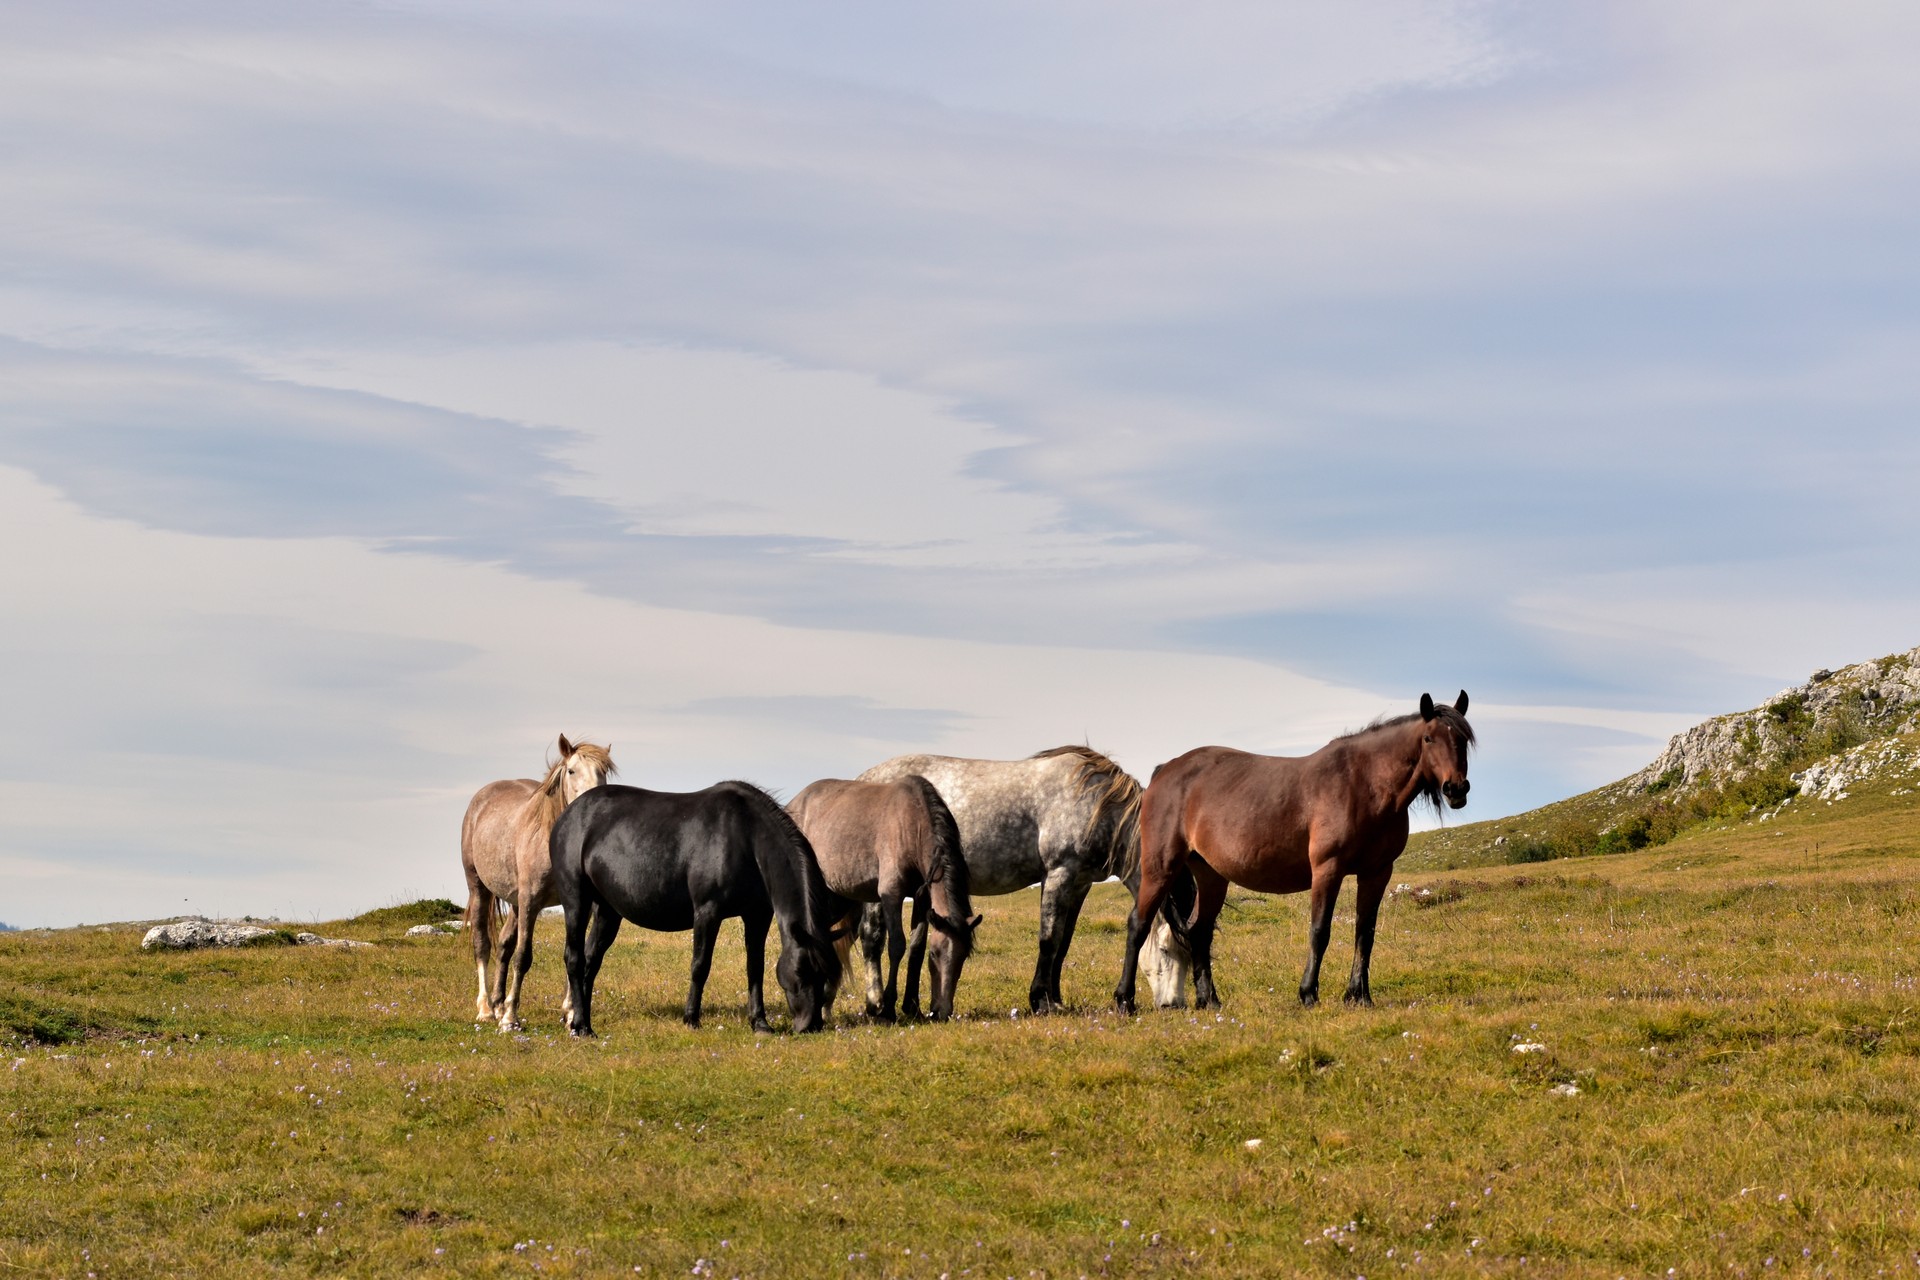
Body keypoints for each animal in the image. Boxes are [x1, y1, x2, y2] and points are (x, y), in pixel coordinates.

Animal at [455, 736, 610, 1028]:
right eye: (571, 771)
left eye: (603, 772)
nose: (594, 805)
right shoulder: (530, 901)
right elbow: (523, 956)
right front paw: (510, 1018)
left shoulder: (576, 904)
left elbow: (575, 953)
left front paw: (570, 1012)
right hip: (480, 888)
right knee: (483, 945)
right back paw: (486, 1008)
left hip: (516, 903)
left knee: (504, 945)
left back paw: (498, 1002)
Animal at [541, 775, 840, 1036]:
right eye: (801, 970)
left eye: (826, 974)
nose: (811, 1025)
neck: (746, 837)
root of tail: (568, 815)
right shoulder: (707, 912)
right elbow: (700, 965)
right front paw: (691, 1019)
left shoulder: (757, 915)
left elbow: (755, 967)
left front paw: (760, 1023)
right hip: (576, 901)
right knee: (575, 958)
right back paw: (582, 1027)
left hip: (607, 911)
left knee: (591, 961)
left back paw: (580, 1022)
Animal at [787, 775, 983, 1028]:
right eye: (935, 954)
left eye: (963, 956)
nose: (943, 1011)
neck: (913, 824)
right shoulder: (891, 893)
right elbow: (897, 945)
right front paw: (887, 1009)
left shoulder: (922, 898)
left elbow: (915, 947)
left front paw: (913, 1007)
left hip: (837, 899)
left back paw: (824, 1006)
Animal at [860, 744, 1182, 1013]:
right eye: (1166, 950)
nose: (1174, 1004)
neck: (1097, 806)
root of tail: (866, 777)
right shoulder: (1059, 875)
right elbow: (1049, 940)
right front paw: (1041, 1000)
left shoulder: (1080, 884)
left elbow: (1063, 943)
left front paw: (1056, 999)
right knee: (872, 939)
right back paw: (877, 1005)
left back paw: (911, 1006)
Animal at [1113, 694, 1466, 1013]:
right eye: (1428, 738)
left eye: (1462, 739)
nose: (1456, 789)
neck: (1363, 784)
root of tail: (1165, 771)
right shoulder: (1327, 869)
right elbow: (1320, 931)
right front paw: (1308, 993)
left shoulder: (1377, 872)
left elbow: (1364, 933)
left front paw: (1359, 996)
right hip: (1161, 868)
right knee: (1138, 926)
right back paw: (1124, 1001)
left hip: (1211, 876)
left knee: (1199, 931)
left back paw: (1209, 1000)